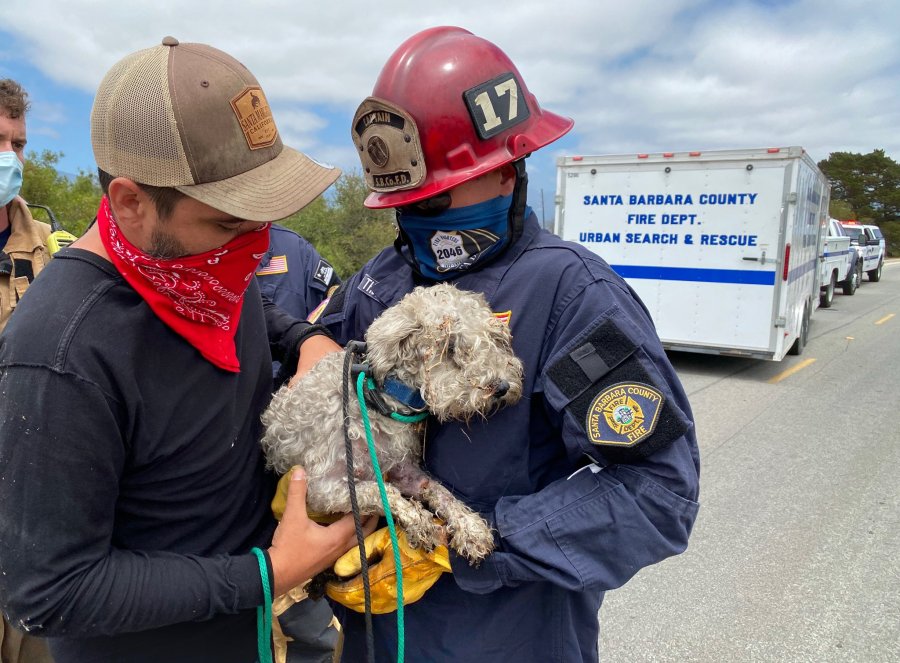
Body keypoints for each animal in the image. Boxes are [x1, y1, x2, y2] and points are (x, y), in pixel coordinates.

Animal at [260, 286, 524, 564]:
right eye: (450, 348)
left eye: (494, 339)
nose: (503, 386)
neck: (380, 399)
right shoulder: (324, 488)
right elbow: (381, 491)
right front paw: (420, 523)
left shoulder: (402, 469)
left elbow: (437, 490)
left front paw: (470, 527)